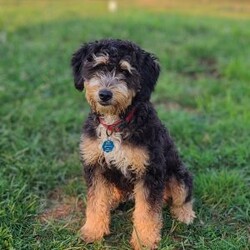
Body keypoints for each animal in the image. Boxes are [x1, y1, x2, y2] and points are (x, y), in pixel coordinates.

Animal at [70, 39, 195, 250]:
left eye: (125, 71)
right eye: (99, 66)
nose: (104, 94)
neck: (115, 123)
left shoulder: (150, 171)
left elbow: (147, 212)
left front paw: (144, 241)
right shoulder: (94, 166)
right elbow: (95, 202)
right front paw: (93, 231)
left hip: (179, 174)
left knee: (183, 197)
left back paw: (185, 214)